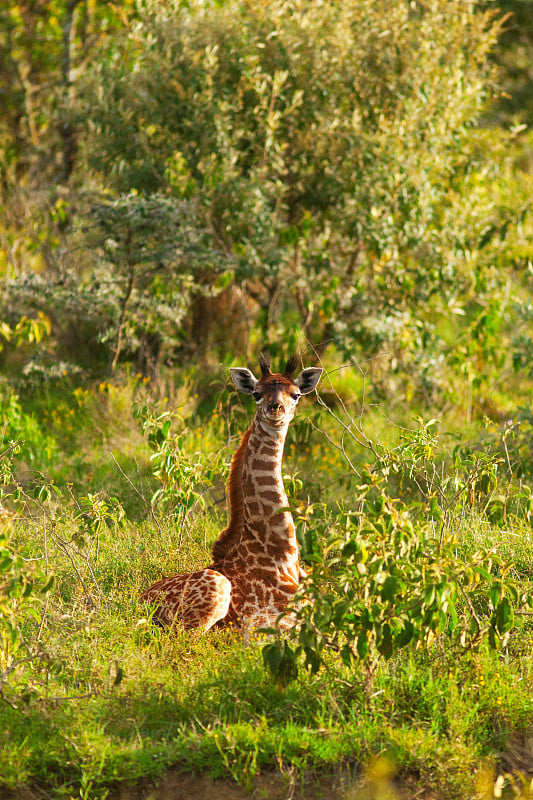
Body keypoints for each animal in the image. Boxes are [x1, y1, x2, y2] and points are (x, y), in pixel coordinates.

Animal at [139, 354, 320, 636]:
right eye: (256, 393)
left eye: (297, 394)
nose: (275, 409)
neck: (283, 556)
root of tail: (138, 602)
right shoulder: (269, 624)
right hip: (214, 593)